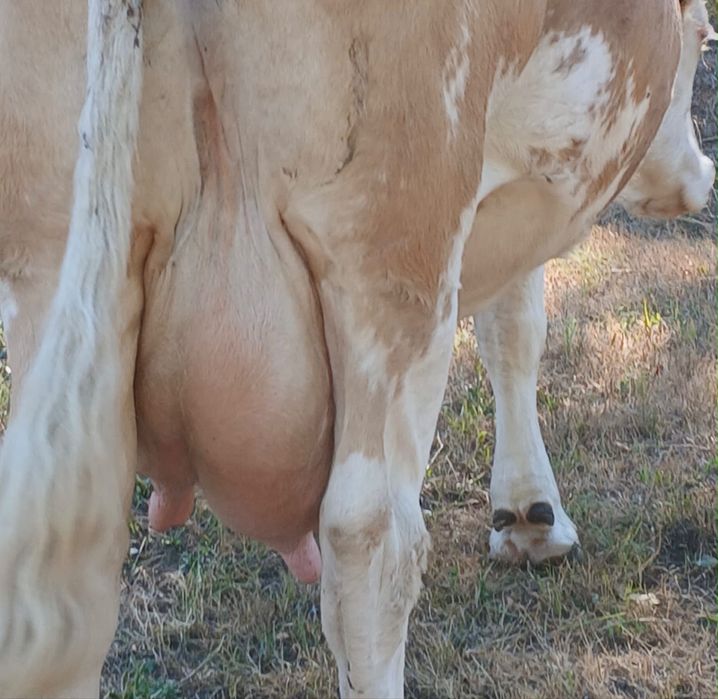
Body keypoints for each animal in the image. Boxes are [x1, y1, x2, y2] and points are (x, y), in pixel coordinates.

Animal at [0, 1, 713, 697]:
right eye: (705, 39)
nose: (699, 178)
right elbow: (515, 330)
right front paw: (532, 516)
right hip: (392, 252)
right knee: (372, 546)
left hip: (51, 268)